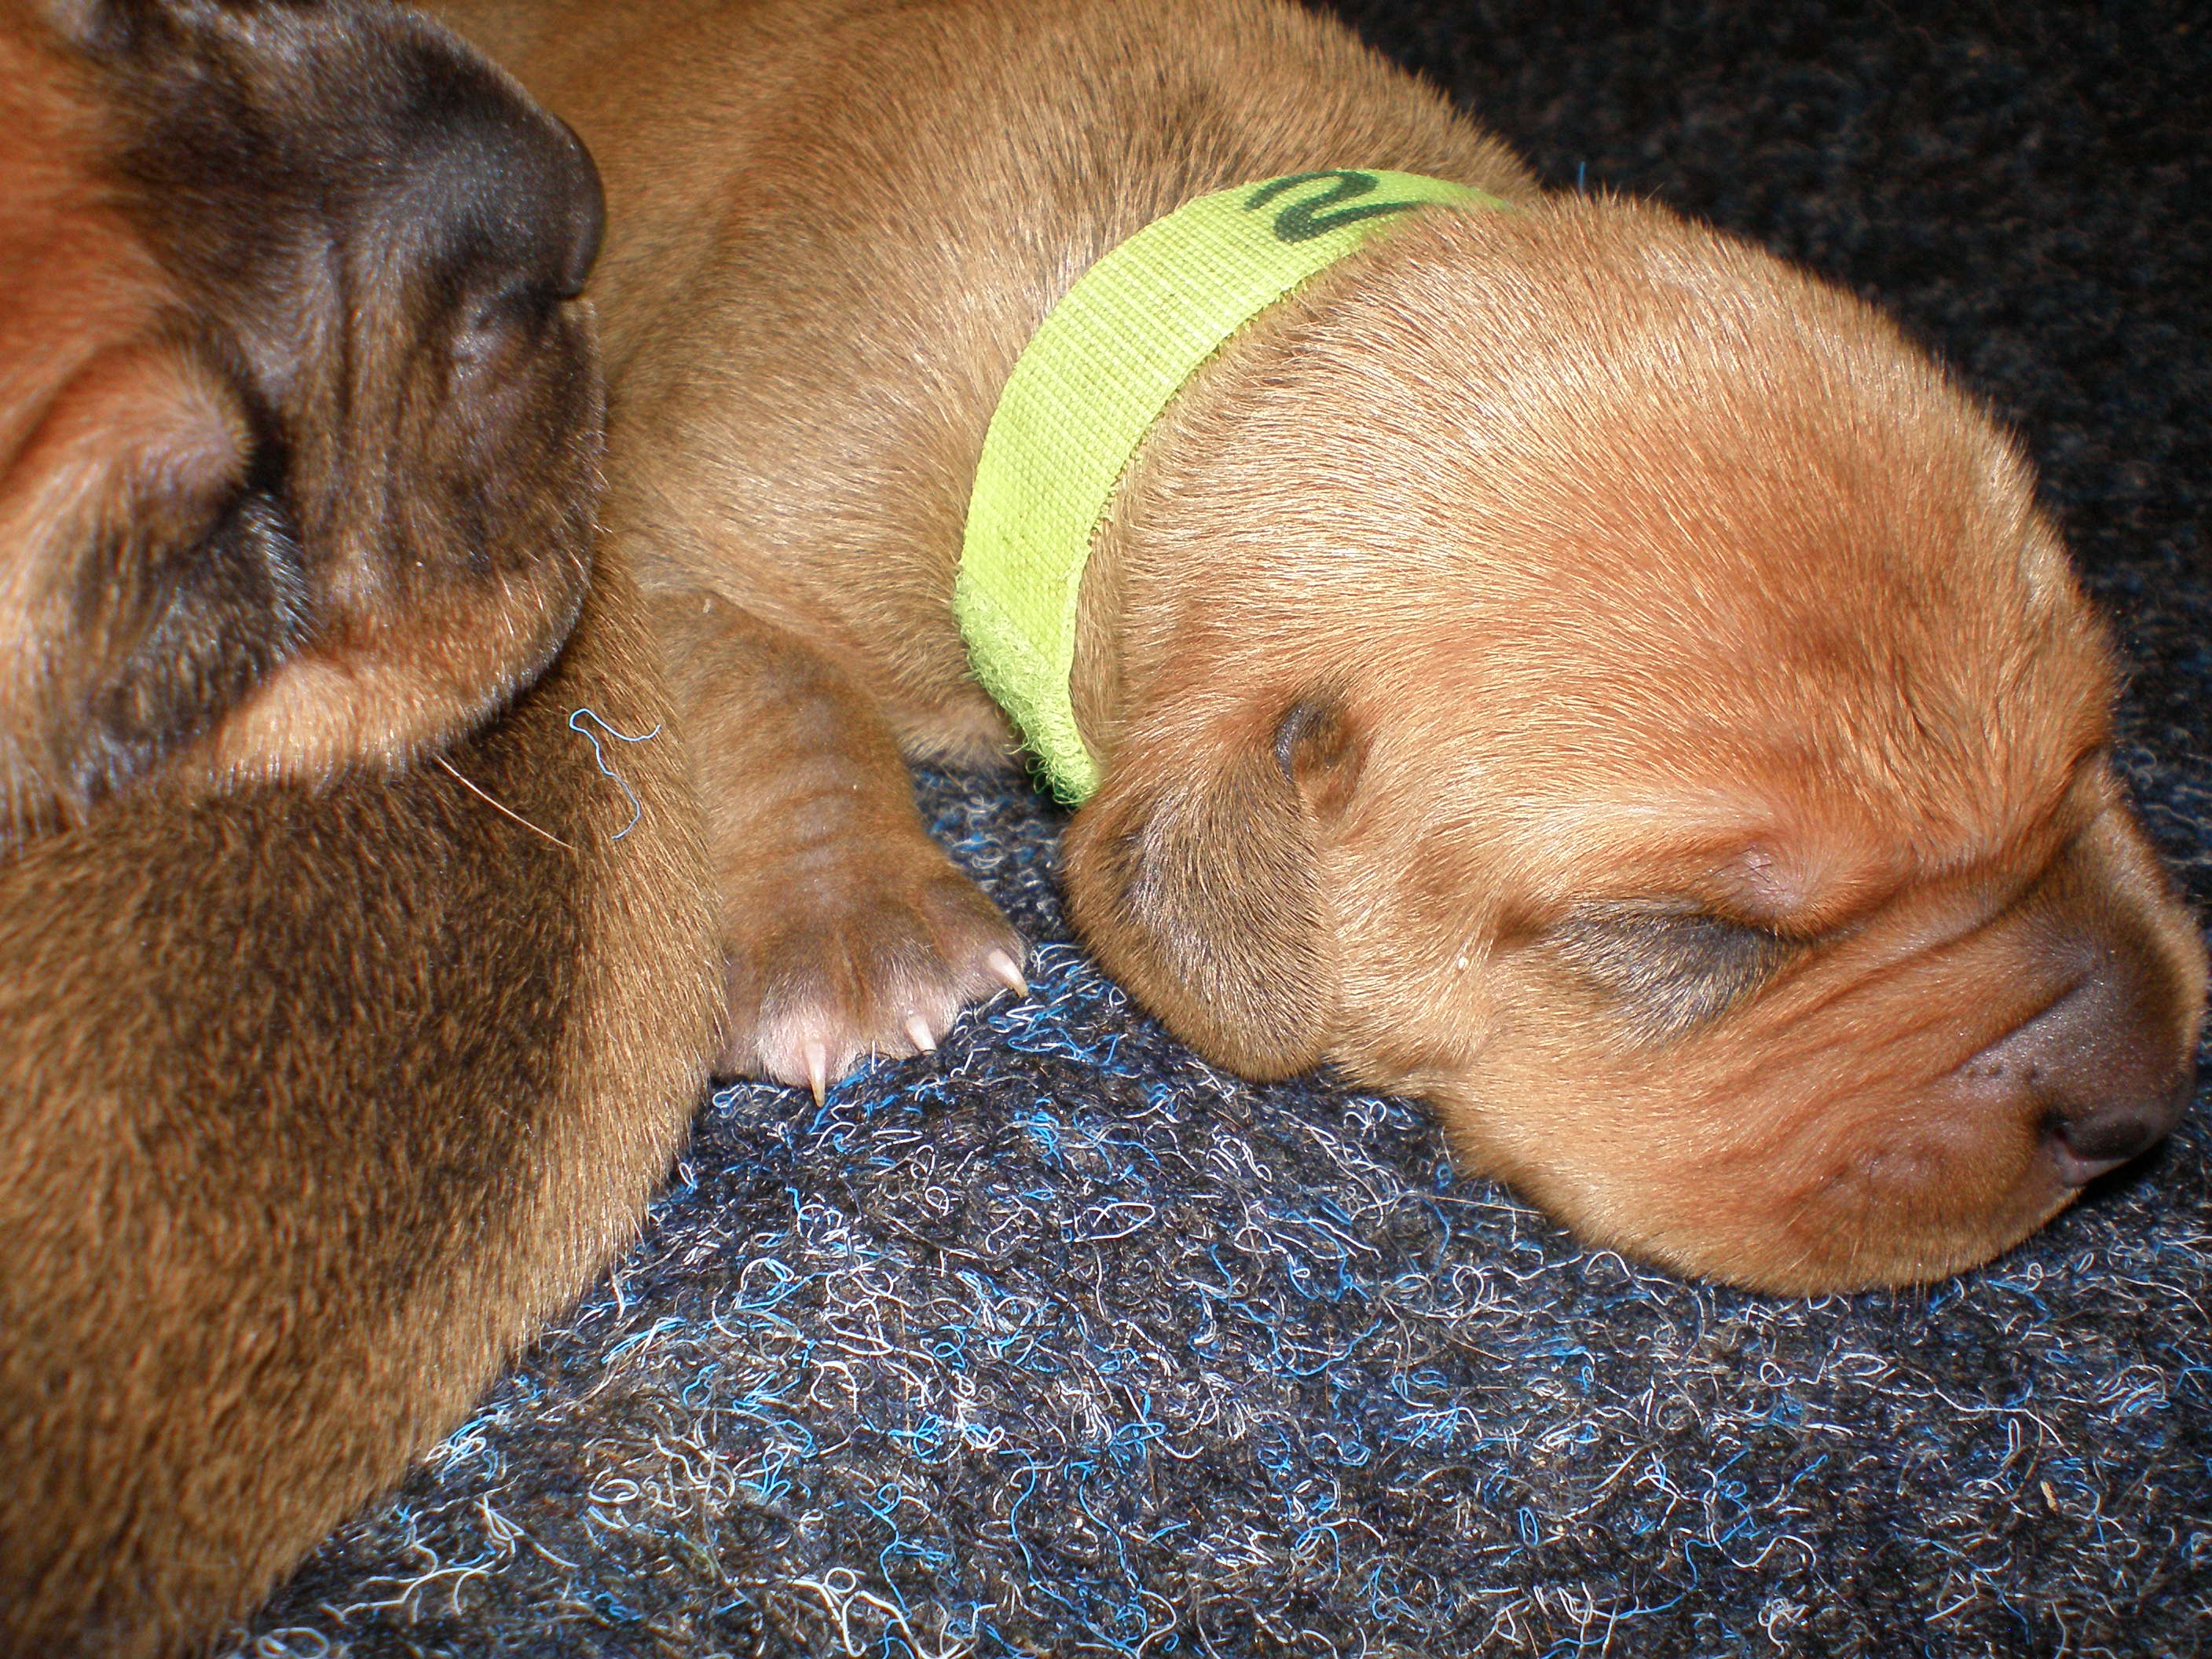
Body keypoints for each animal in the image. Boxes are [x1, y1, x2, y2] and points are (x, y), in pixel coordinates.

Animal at [428, 0, 2207, 1299]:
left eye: (2097, 736)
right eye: (1692, 934)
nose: (2141, 1106)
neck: (1183, 306)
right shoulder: (663, 512)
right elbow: (764, 678)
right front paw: (855, 932)